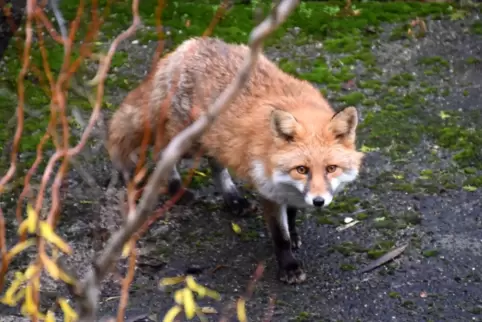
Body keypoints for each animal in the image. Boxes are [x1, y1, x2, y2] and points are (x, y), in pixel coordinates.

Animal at [106, 37, 366, 284]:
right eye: (302, 169)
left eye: (331, 168)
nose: (318, 201)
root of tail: (189, 45)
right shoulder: (268, 190)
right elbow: (279, 236)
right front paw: (289, 266)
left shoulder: (289, 191)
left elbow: (291, 217)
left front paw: (294, 236)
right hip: (188, 143)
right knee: (161, 153)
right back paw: (177, 190)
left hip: (213, 141)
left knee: (216, 166)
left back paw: (233, 200)